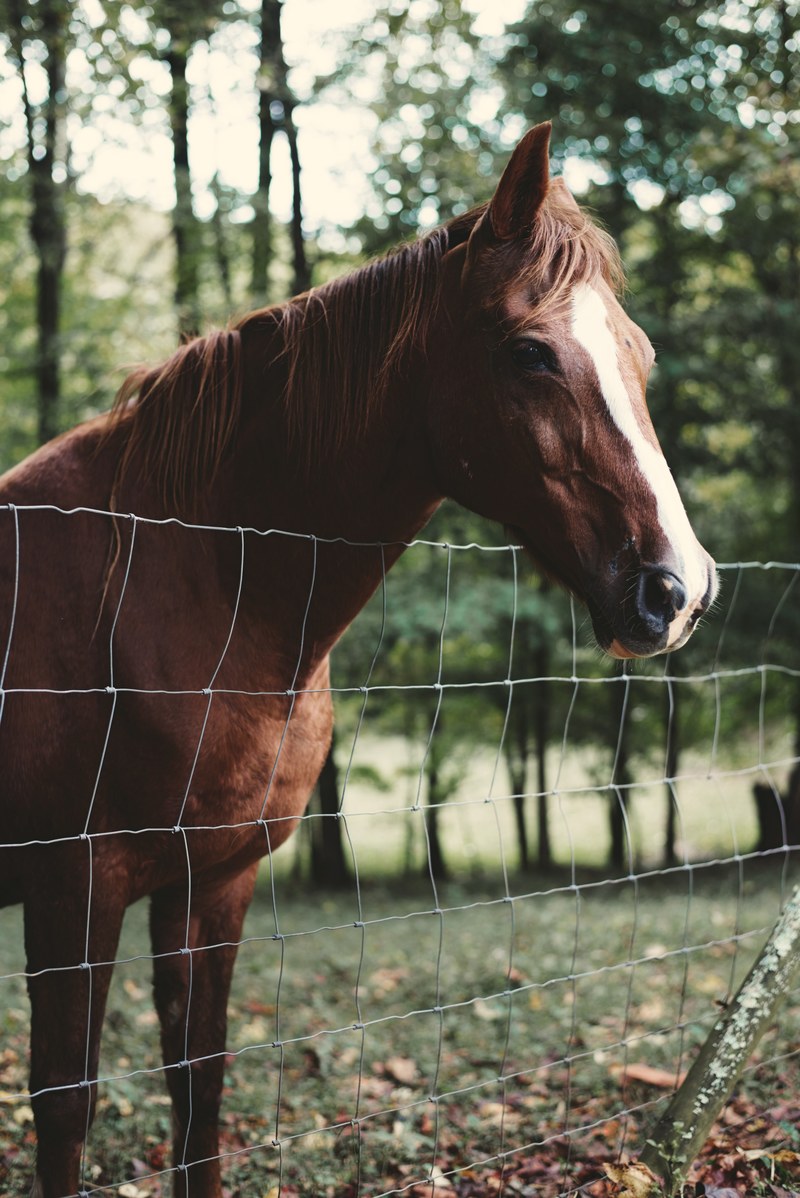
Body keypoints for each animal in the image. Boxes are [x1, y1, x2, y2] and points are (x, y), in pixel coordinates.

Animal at [0, 123, 716, 1198]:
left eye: (639, 353)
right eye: (529, 352)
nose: (677, 588)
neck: (183, 581)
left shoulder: (210, 883)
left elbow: (199, 1084)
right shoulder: (70, 893)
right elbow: (64, 1107)